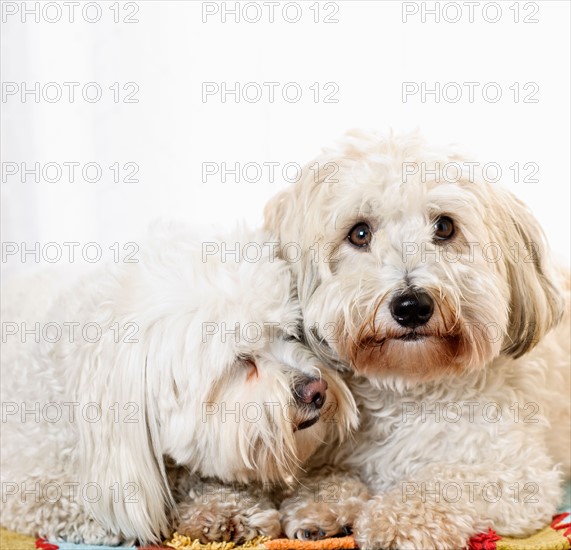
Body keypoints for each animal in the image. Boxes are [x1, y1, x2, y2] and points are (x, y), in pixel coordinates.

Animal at [264, 132, 571, 548]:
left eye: (444, 227)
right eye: (359, 232)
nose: (411, 306)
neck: (410, 388)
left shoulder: (520, 474)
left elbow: (443, 478)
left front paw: (391, 521)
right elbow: (329, 476)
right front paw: (321, 504)